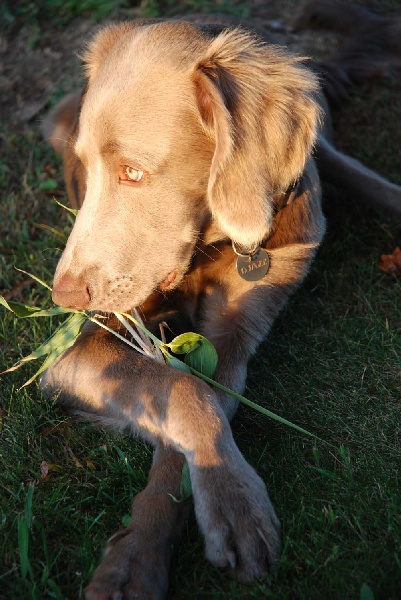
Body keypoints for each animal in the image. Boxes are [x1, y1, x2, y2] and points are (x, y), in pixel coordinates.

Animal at [40, 2, 400, 596]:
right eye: (87, 168)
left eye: (133, 172)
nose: (65, 296)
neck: (209, 245)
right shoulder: (81, 349)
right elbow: (182, 393)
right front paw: (141, 556)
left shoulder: (235, 333)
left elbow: (195, 399)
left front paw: (221, 512)